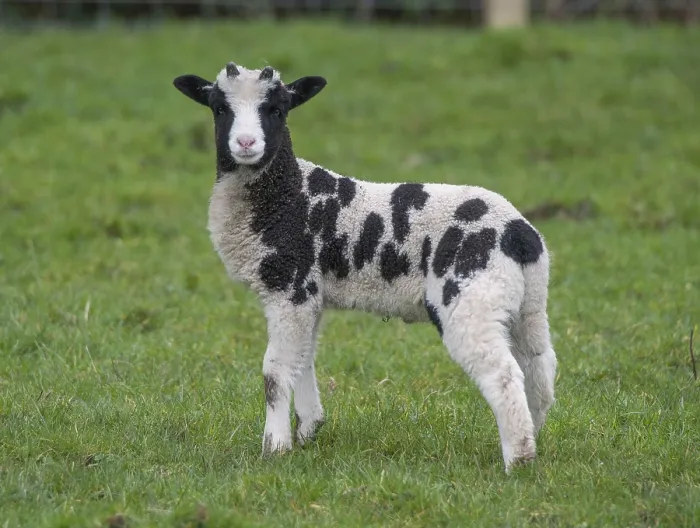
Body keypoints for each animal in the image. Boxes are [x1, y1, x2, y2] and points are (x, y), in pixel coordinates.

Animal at [172, 62, 557, 472]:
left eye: (277, 110)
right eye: (219, 109)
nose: (246, 143)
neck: (289, 196)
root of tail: (519, 234)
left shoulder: (290, 285)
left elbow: (275, 371)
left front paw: (274, 448)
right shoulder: (310, 295)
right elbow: (303, 359)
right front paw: (308, 428)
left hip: (472, 298)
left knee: (503, 375)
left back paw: (518, 461)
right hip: (525, 304)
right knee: (538, 366)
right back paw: (533, 437)